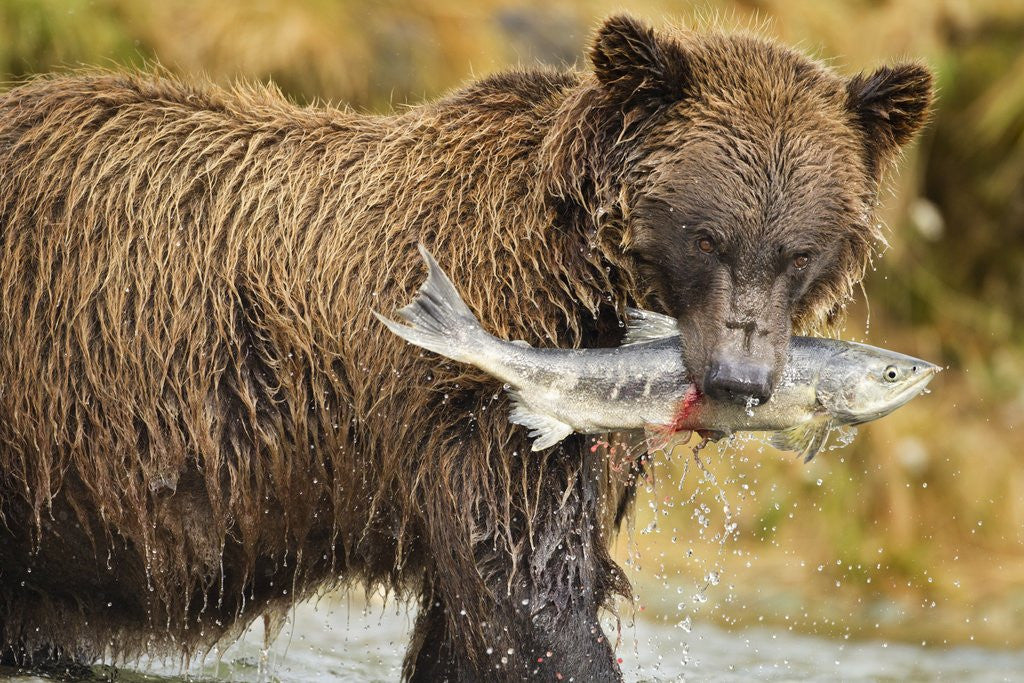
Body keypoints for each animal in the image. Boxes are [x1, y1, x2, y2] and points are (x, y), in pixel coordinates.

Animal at [0, 14, 931, 681]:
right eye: (706, 235)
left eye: (799, 250)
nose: (741, 379)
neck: (583, 275)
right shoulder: (483, 409)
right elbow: (525, 592)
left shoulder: (584, 439)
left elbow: (479, 616)